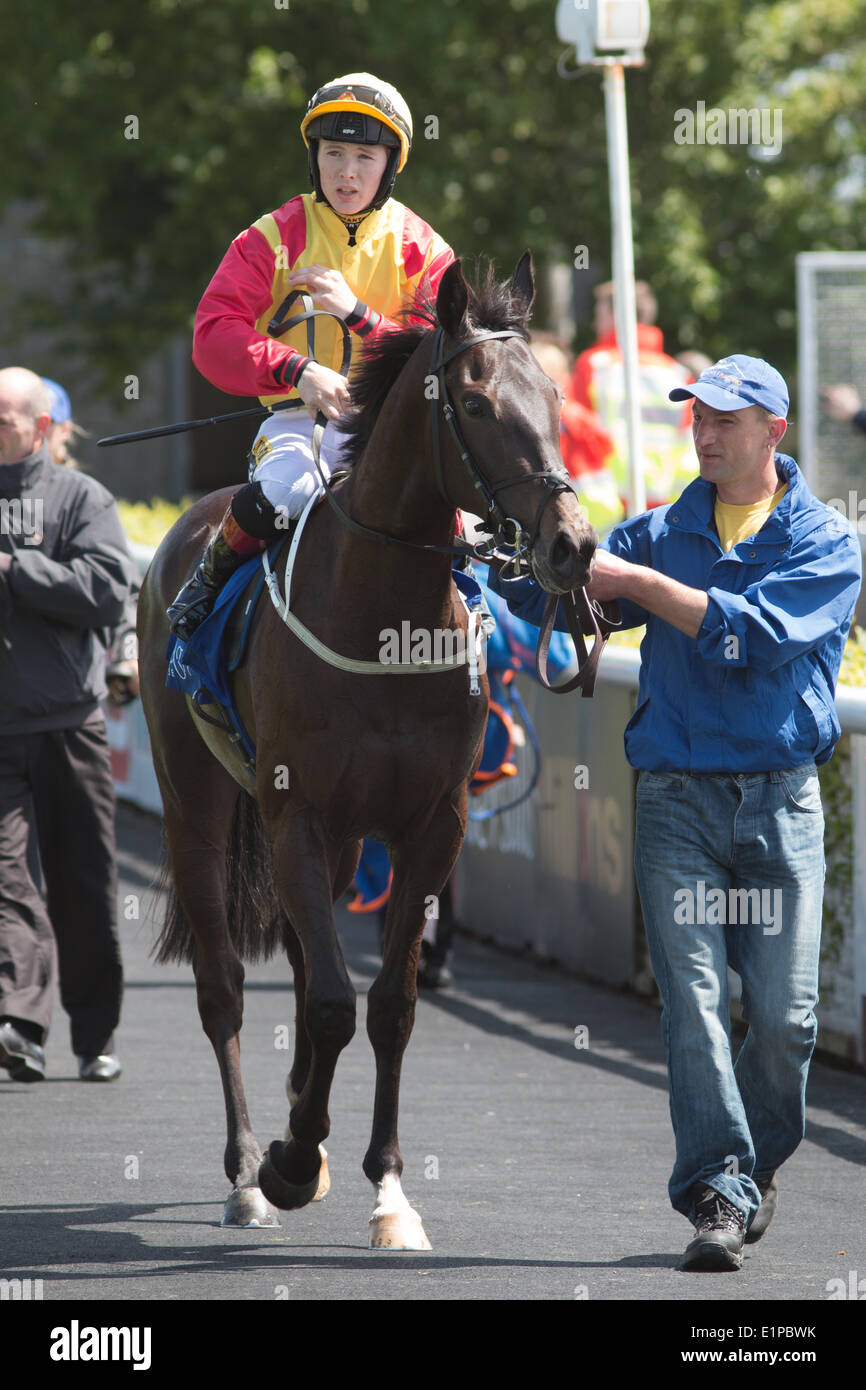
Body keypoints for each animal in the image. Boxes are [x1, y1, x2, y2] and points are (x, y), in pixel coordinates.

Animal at [139, 252, 600, 1251]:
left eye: (553, 393)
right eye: (476, 402)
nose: (575, 546)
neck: (385, 618)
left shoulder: (432, 824)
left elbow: (386, 1005)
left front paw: (386, 1190)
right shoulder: (296, 815)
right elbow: (329, 1002)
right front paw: (289, 1160)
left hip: (347, 843)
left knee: (307, 965)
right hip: (197, 803)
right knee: (224, 987)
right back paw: (249, 1171)